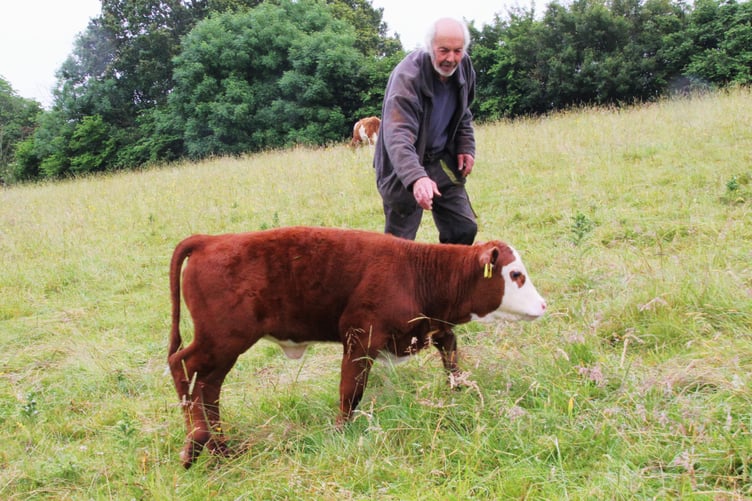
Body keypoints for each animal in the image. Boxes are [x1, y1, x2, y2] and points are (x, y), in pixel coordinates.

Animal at [168, 226, 546, 468]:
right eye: (515, 275)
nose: (542, 305)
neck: (415, 272)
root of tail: (211, 240)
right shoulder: (360, 337)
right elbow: (351, 390)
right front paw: (340, 431)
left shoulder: (435, 327)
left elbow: (452, 361)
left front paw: (461, 392)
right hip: (222, 340)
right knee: (184, 367)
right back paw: (196, 444)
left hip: (222, 347)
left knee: (207, 387)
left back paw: (219, 449)